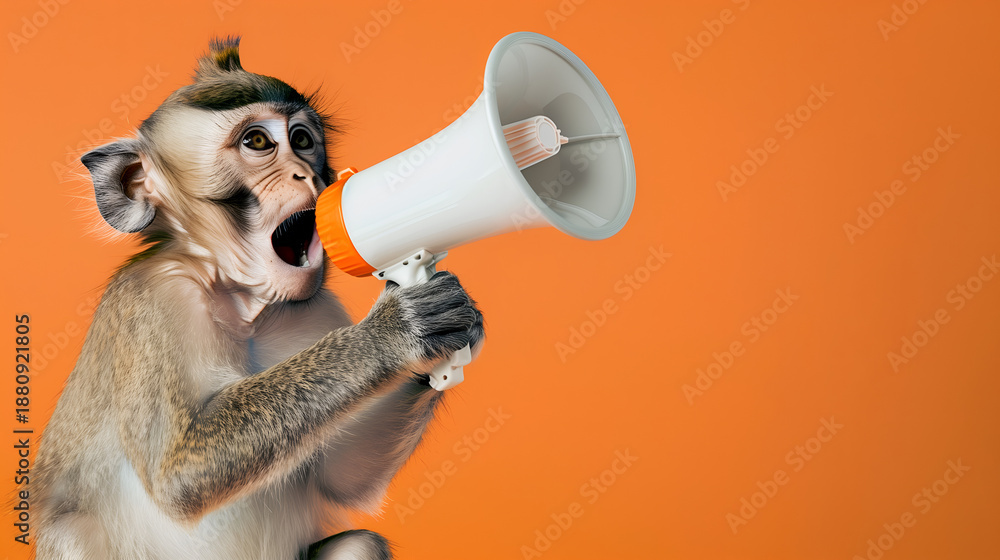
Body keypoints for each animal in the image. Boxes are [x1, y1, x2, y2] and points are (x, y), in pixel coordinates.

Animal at [34, 37, 484, 560]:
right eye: (258, 143)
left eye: (303, 140)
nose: (306, 174)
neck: (243, 303)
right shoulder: (153, 299)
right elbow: (179, 472)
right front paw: (395, 332)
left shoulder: (317, 309)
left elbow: (343, 479)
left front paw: (453, 324)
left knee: (359, 544)